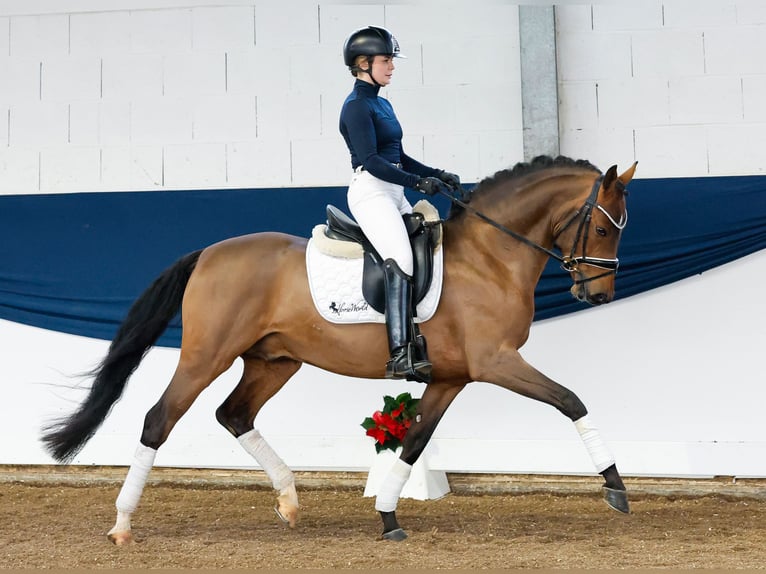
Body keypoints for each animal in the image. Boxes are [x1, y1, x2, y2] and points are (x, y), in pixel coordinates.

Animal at [45, 156, 640, 544]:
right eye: (604, 230)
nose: (598, 295)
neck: (490, 256)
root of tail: (208, 254)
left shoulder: (452, 377)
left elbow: (414, 441)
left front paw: (388, 516)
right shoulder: (496, 362)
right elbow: (570, 400)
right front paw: (616, 488)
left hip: (274, 361)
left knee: (233, 414)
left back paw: (288, 501)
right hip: (204, 356)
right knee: (158, 419)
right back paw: (122, 525)